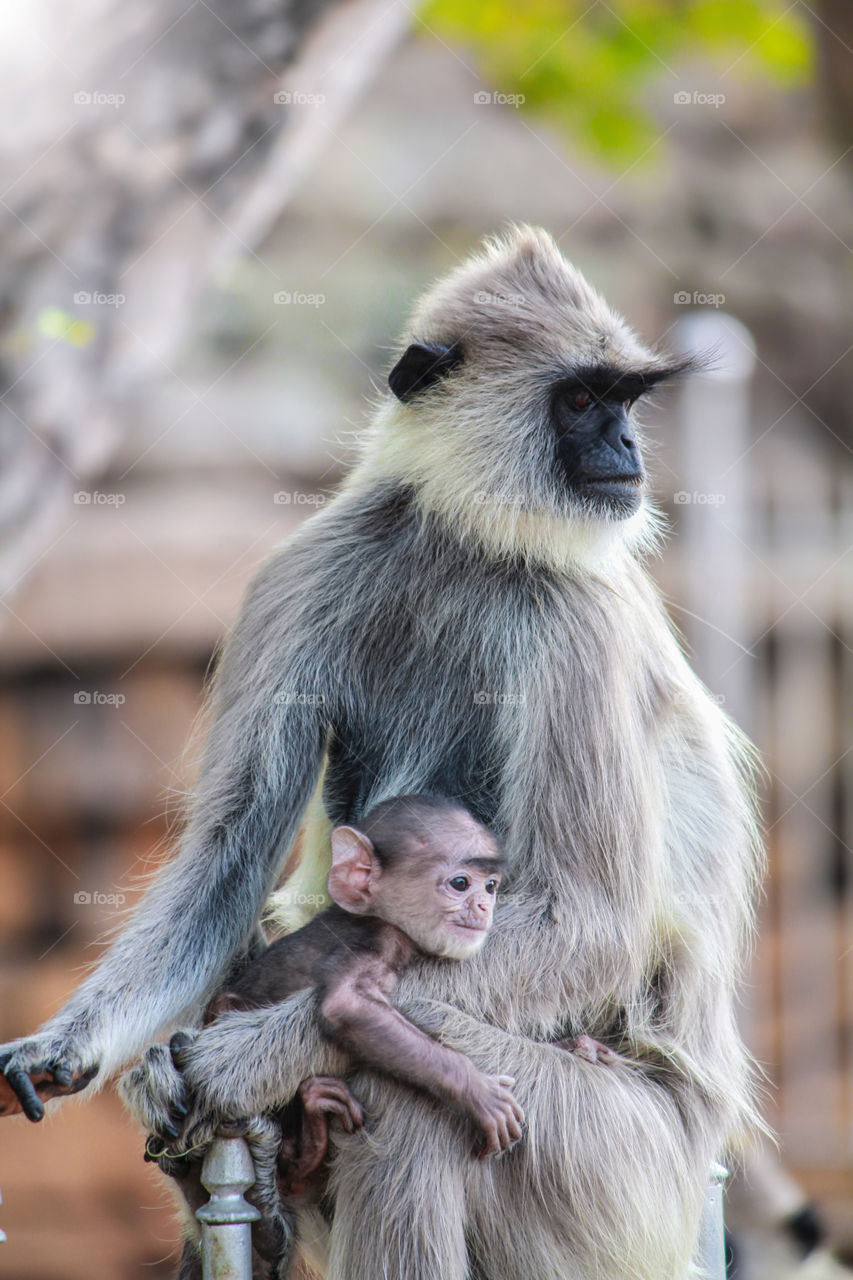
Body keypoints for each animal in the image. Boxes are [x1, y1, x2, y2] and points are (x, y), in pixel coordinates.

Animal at [0, 227, 758, 1280]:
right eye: (580, 401)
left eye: (624, 400)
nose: (628, 450)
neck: (462, 541)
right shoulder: (307, 568)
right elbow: (226, 862)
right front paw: (76, 1049)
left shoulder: (580, 621)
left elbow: (589, 921)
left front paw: (248, 1054)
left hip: (630, 1175)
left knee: (417, 1096)